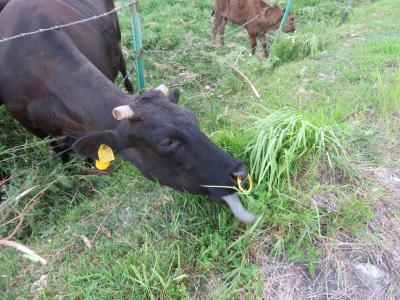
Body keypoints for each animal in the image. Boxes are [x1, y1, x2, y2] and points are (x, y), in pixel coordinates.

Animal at [0, 0, 256, 221]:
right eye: (167, 142)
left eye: (194, 119)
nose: (240, 172)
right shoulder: (38, 130)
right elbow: (62, 156)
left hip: (118, 46)